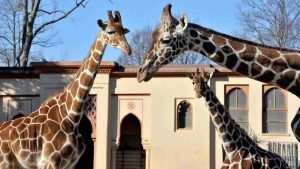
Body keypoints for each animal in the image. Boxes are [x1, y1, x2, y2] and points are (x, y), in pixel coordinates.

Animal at [0, 10, 131, 169]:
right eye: (110, 31)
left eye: (123, 31)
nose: (128, 50)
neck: (71, 115)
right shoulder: (49, 161)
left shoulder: (70, 163)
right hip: (4, 161)